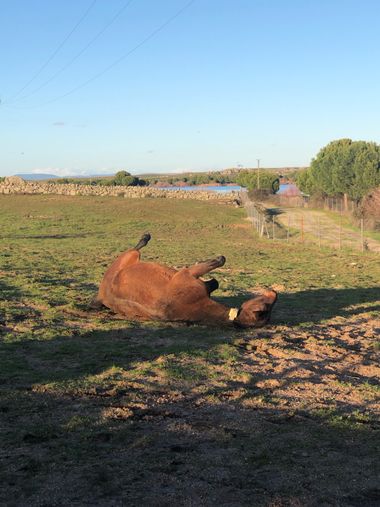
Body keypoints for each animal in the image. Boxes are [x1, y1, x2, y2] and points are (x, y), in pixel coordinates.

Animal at [92, 234, 276, 330]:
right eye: (266, 303)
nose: (274, 292)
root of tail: (101, 296)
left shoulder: (188, 276)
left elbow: (216, 272)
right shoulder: (189, 274)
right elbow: (217, 268)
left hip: (129, 257)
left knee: (136, 248)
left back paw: (145, 237)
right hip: (130, 257)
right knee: (137, 247)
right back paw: (146, 237)